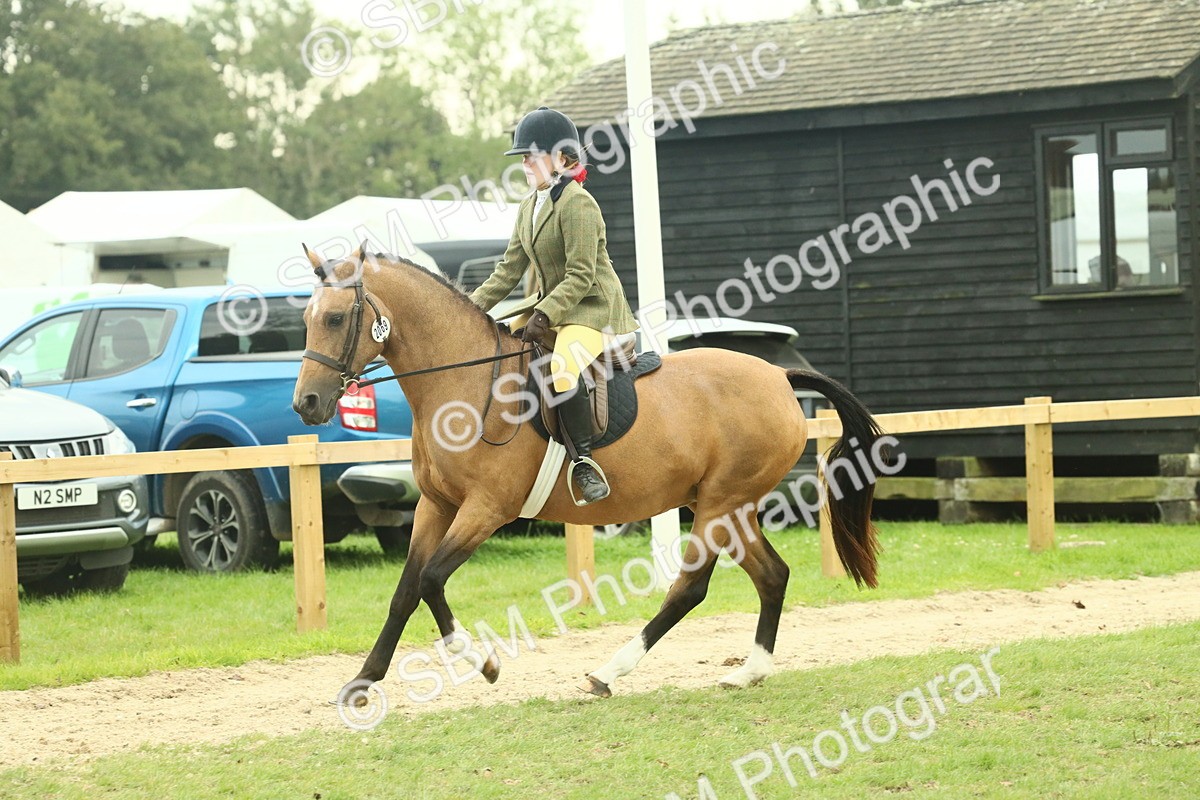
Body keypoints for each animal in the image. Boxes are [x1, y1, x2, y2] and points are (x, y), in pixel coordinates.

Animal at [292, 246, 882, 701]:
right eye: (306, 320)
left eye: (336, 318)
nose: (306, 403)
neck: (461, 383)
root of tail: (780, 376)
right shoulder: (435, 506)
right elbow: (406, 591)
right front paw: (362, 682)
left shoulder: (486, 509)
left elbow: (432, 580)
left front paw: (486, 664)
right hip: (728, 507)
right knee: (771, 575)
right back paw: (750, 672)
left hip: (719, 504)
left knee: (689, 588)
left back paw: (608, 672)